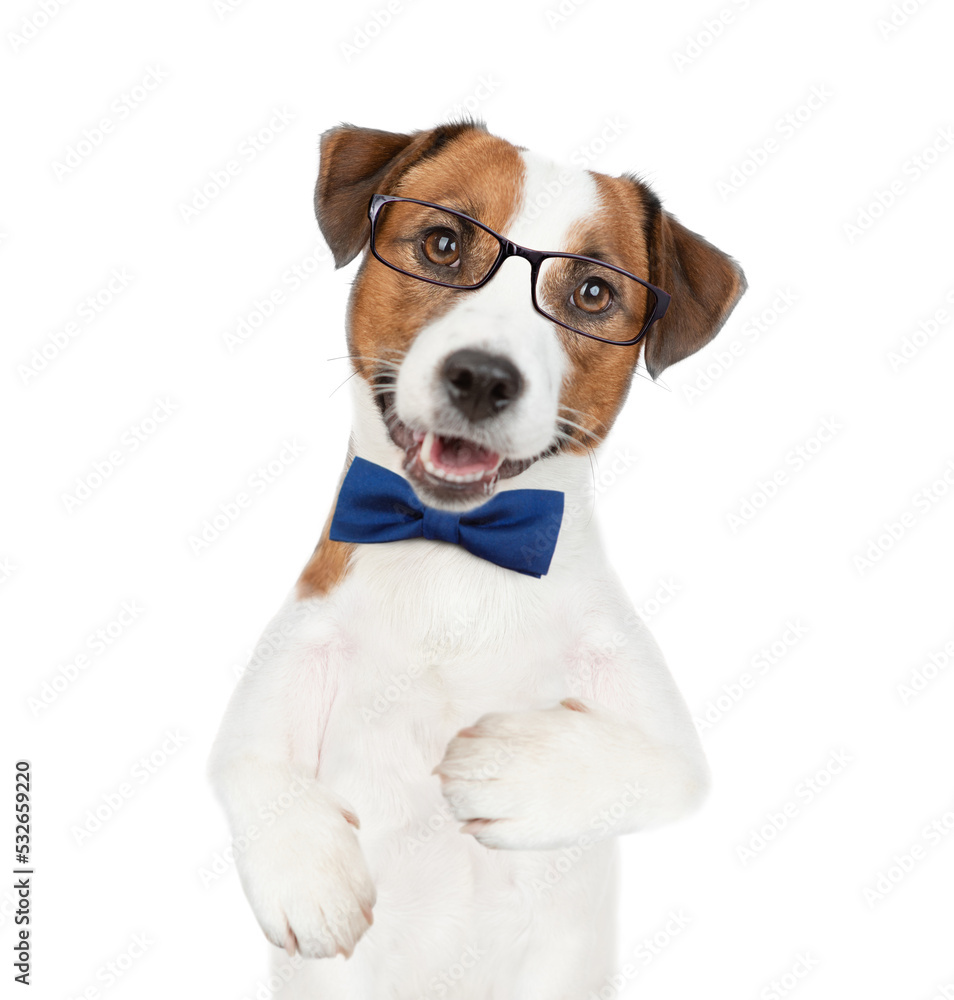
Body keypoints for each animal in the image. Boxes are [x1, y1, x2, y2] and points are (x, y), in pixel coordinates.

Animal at [208, 121, 744, 996]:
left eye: (593, 293)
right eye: (443, 242)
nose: (484, 378)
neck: (455, 554)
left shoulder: (659, 726)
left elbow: (669, 769)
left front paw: (514, 771)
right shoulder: (297, 645)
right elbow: (243, 759)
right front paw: (308, 879)